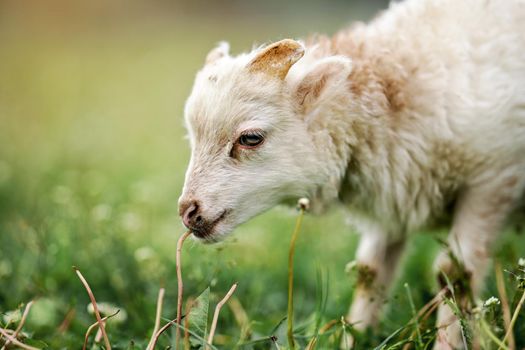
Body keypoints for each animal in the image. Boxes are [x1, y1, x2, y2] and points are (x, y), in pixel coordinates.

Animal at [177, 0, 524, 348]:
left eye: (251, 138)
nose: (188, 211)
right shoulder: (394, 186)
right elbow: (369, 273)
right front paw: (356, 336)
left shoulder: (491, 180)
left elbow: (455, 275)